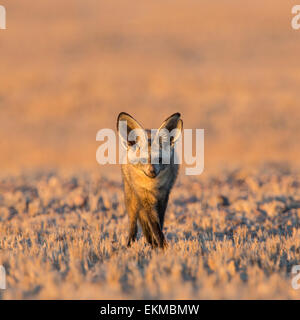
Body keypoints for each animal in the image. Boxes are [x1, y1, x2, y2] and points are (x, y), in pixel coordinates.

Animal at [117, 111, 183, 249]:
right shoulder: (144, 198)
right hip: (131, 199)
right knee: (133, 225)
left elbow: (159, 223)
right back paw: (129, 245)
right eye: (143, 159)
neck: (152, 186)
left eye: (159, 159)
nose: (152, 171)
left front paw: (159, 245)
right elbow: (153, 225)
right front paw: (162, 246)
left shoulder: (163, 196)